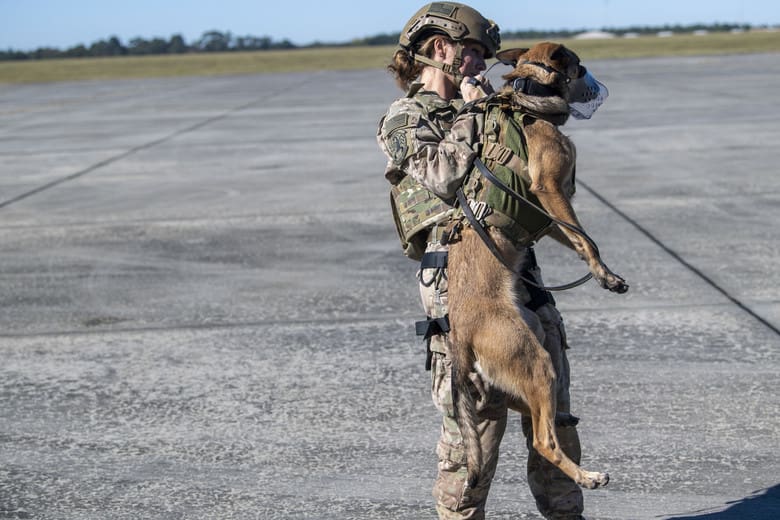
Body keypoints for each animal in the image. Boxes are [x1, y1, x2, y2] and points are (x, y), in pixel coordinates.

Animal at [447, 42, 627, 489]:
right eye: (579, 65)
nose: (598, 83)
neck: (529, 97)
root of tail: (460, 335)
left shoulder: (546, 216)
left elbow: (576, 240)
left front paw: (603, 273)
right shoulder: (549, 190)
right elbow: (585, 238)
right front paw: (604, 274)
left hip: (530, 351)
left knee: (526, 411)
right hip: (535, 362)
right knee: (544, 441)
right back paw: (586, 475)